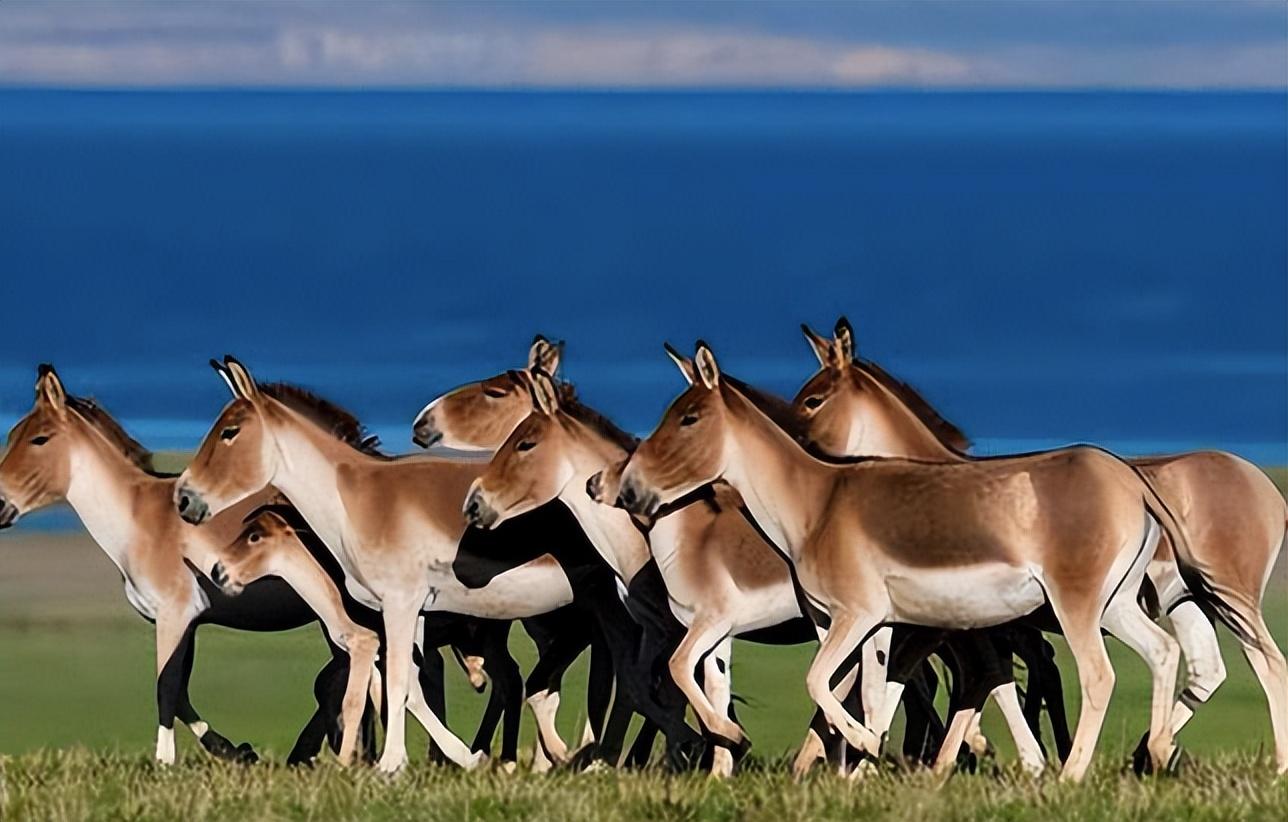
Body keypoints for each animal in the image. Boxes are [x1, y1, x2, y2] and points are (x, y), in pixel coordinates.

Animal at [0, 365, 376, 767]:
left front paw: (165, 762)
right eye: (11, 435)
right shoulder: (188, 621)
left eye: (39, 439)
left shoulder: (176, 612)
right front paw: (234, 751)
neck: (137, 518)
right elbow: (179, 691)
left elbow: (165, 686)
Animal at [615, 342, 1205, 783]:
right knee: (1162, 651)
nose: (626, 491)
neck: (815, 503)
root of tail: (1130, 477)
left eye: (689, 418)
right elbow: (868, 689)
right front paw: (858, 767)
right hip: (1115, 603)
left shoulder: (855, 614)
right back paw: (1155, 753)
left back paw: (1072, 774)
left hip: (1075, 603)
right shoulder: (865, 623)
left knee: (1099, 675)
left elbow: (817, 681)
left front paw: (857, 748)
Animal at [793, 319, 1288, 778]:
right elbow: (948, 680)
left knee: (1269, 665)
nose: (794, 447)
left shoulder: (959, 625)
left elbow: (944, 679)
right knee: (1208, 669)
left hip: (1231, 598)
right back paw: (1154, 749)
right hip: (1190, 601)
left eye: (812, 400)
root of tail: (1263, 484)